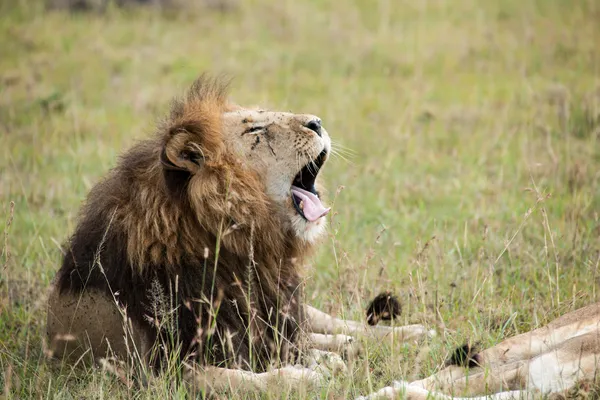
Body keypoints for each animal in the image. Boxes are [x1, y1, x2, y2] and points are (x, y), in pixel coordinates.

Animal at [45, 75, 432, 394]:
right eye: (254, 131)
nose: (317, 122)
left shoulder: (266, 318)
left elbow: (323, 338)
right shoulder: (165, 370)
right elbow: (246, 378)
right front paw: (310, 374)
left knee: (336, 324)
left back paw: (412, 335)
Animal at [356, 304, 600, 400]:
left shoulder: (536, 392)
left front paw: (394, 393)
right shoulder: (525, 372)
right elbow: (455, 387)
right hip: (529, 344)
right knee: (453, 372)